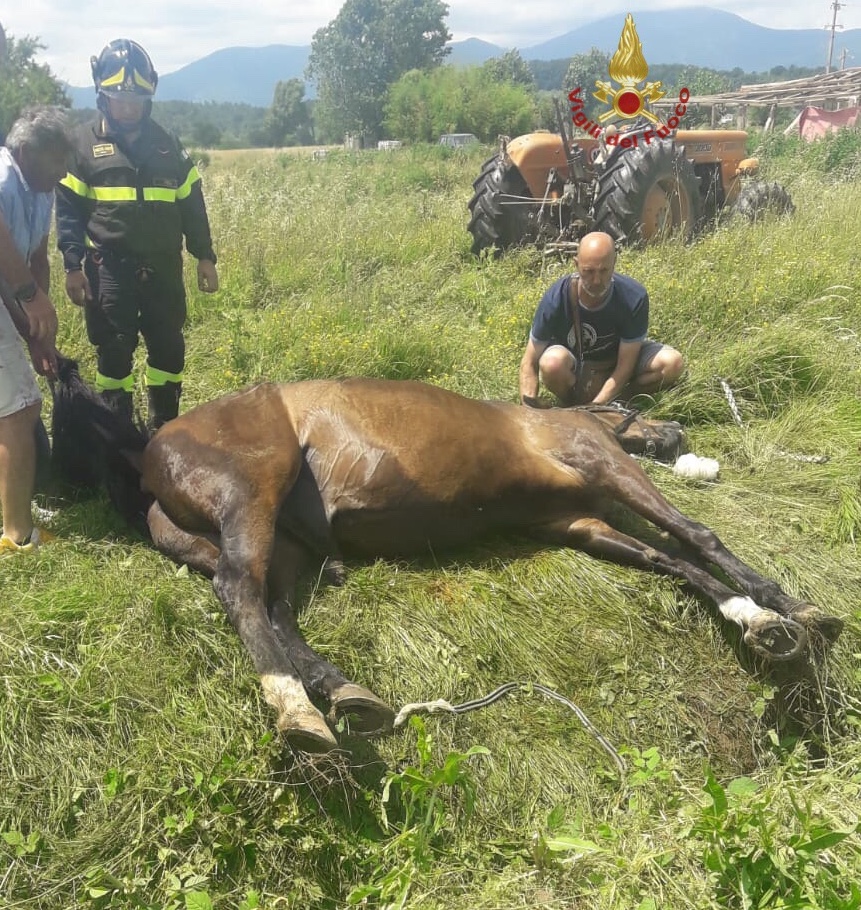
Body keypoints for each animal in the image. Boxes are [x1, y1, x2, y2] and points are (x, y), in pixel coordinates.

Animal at [52, 364, 840, 756]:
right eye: (635, 407)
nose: (676, 432)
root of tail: (149, 460)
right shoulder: (605, 464)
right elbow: (695, 536)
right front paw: (787, 605)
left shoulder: (576, 521)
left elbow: (669, 561)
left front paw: (751, 618)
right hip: (253, 493)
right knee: (239, 592)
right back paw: (297, 712)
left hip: (288, 542)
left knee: (273, 610)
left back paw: (342, 692)